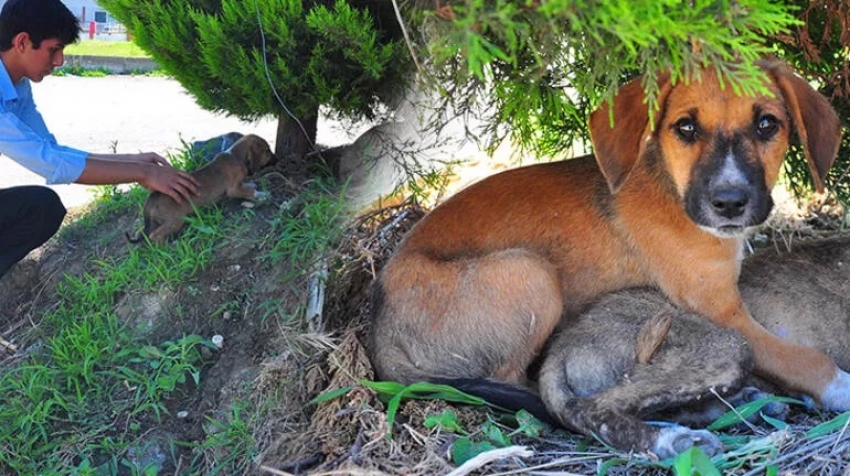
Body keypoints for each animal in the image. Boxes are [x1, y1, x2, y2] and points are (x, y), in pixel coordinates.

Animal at [126, 134, 274, 245]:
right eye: (267, 150)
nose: (277, 159)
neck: (235, 155)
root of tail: (152, 197)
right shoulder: (233, 189)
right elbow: (248, 192)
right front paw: (261, 194)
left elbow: (247, 186)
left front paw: (253, 186)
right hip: (175, 220)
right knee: (154, 235)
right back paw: (170, 245)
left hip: (156, 221)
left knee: (142, 233)